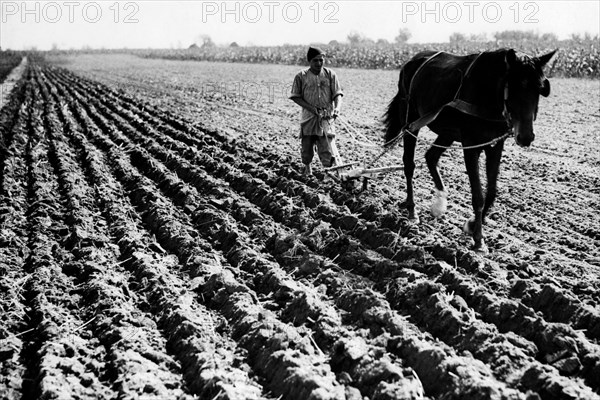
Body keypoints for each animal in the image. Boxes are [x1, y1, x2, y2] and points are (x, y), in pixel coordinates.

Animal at [386, 48, 556, 252]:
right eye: (515, 86)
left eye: (540, 88)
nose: (526, 137)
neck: (488, 95)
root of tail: (412, 60)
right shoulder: (470, 145)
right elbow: (478, 195)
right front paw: (479, 240)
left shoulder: (495, 145)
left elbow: (491, 192)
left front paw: (472, 224)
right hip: (411, 122)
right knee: (409, 164)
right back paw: (412, 210)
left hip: (447, 131)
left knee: (431, 157)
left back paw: (440, 201)